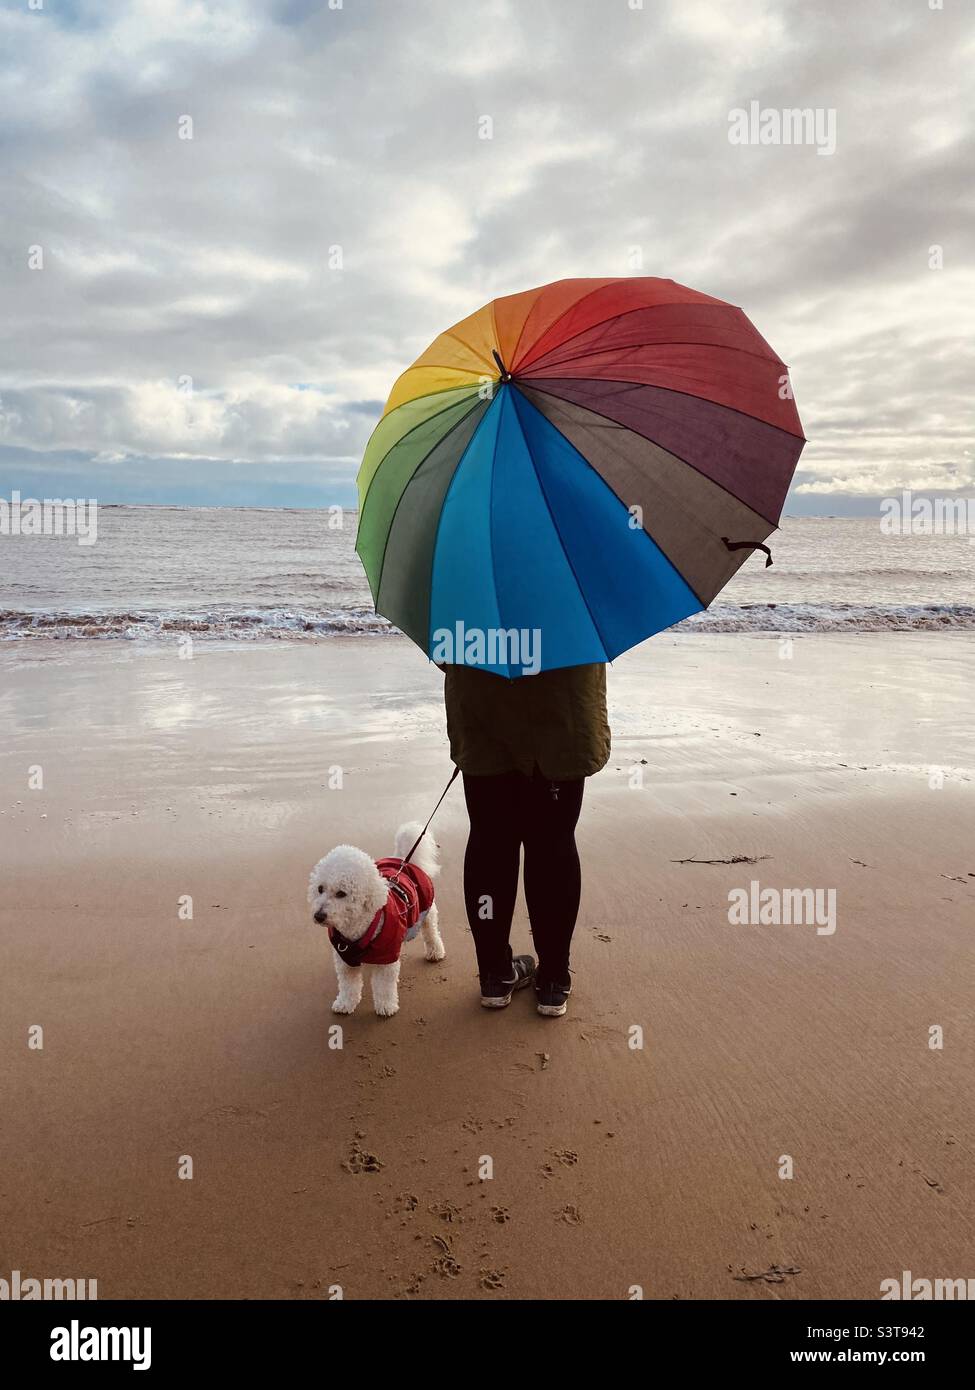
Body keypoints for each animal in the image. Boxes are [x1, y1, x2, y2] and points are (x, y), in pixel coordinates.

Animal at [305, 817, 442, 1017]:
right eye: (320, 889)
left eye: (341, 893)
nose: (319, 915)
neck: (356, 930)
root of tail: (404, 861)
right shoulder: (344, 959)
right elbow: (348, 985)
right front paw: (345, 1003)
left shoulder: (387, 958)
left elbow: (384, 985)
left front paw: (385, 1006)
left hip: (427, 913)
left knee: (431, 932)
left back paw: (435, 952)